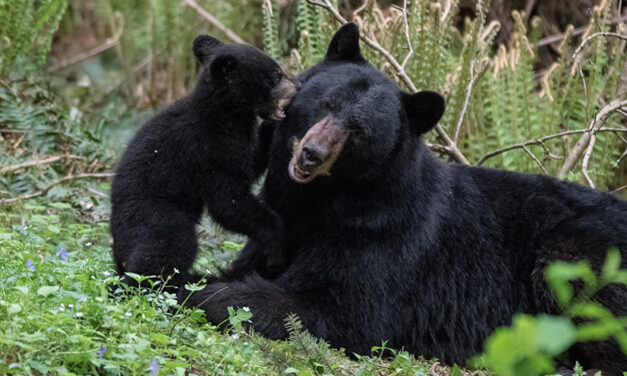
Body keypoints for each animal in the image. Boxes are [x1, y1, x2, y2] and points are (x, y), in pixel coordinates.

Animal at [110, 34, 300, 288]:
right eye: (275, 74)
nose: (297, 85)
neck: (224, 113)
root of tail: (118, 243)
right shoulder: (207, 149)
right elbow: (228, 200)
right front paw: (276, 249)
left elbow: (249, 164)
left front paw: (271, 127)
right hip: (157, 216)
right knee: (165, 249)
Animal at [183, 25, 627, 374]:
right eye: (327, 103)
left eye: (359, 130)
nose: (311, 154)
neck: (321, 199)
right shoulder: (281, 220)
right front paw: (196, 279)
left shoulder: (382, 235)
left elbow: (339, 310)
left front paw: (210, 296)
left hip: (580, 250)